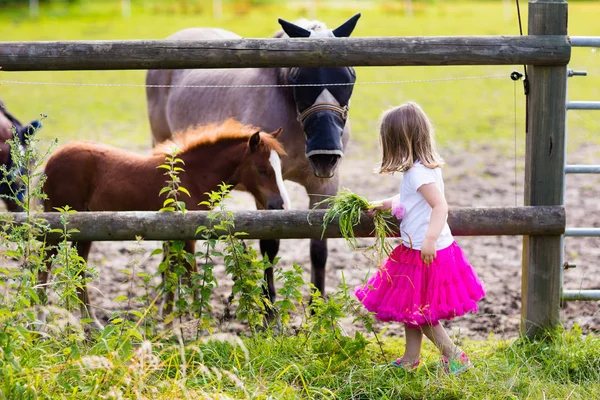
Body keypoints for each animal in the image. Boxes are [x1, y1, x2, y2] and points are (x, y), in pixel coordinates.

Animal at [145, 14, 360, 310]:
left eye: (349, 76)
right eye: (298, 77)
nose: (325, 155)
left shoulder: (324, 185)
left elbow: (319, 247)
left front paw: (317, 310)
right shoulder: (266, 192)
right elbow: (269, 245)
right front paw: (269, 310)